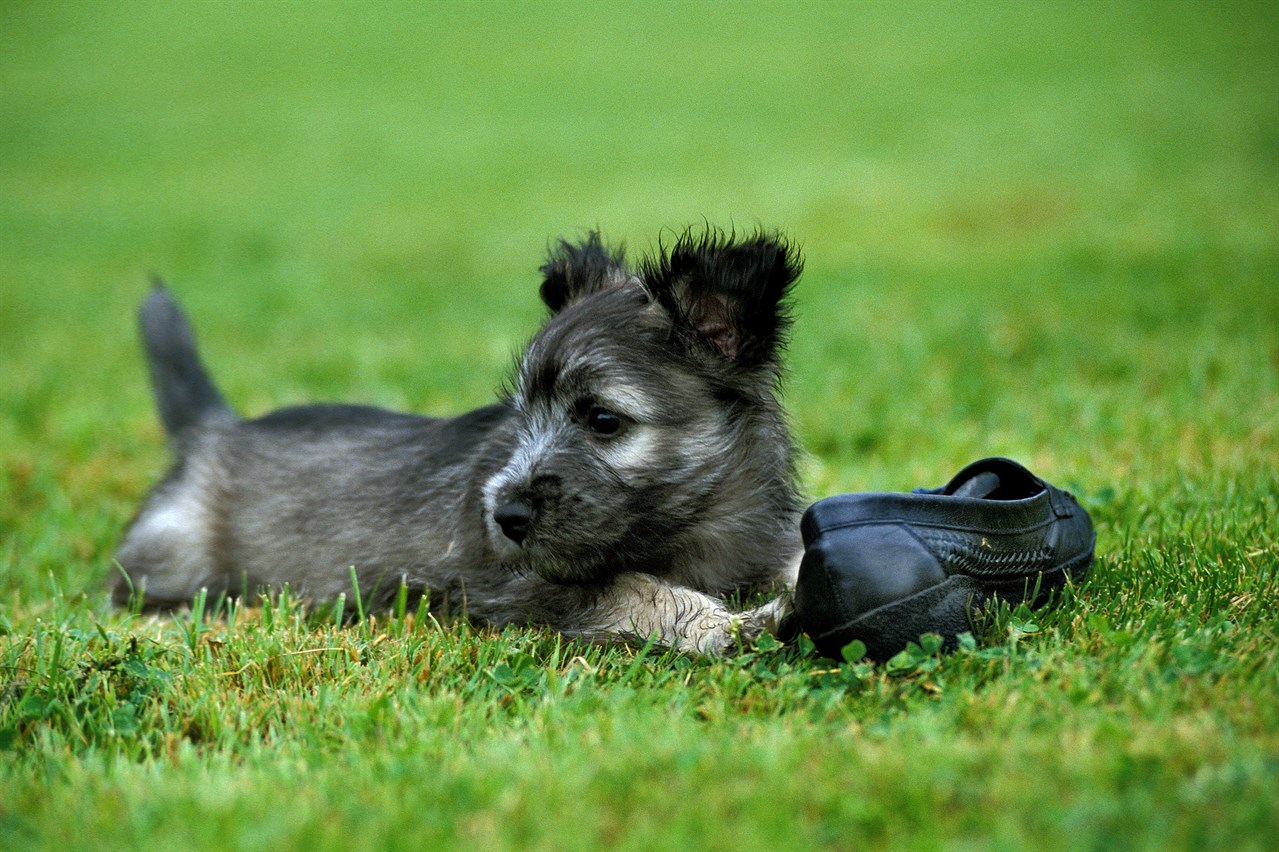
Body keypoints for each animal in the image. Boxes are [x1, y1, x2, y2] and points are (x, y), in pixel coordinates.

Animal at [117, 225, 798, 649]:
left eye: (603, 420)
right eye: (524, 414)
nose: (506, 516)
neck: (692, 529)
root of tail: (211, 429)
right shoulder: (514, 588)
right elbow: (638, 590)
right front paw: (728, 627)